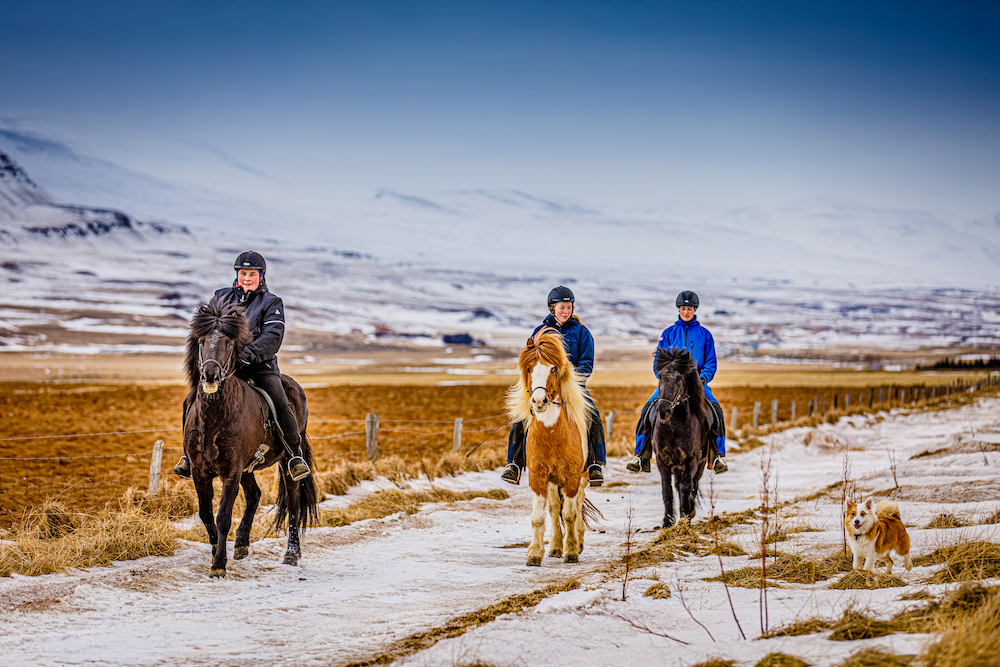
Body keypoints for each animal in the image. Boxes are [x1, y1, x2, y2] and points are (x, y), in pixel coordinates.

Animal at [183, 300, 316, 576]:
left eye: (229, 342)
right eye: (201, 341)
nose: (210, 375)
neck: (214, 416)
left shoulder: (231, 470)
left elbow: (223, 516)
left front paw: (218, 565)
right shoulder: (200, 471)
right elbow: (205, 514)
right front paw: (217, 550)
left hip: (286, 461)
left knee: (294, 502)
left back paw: (291, 554)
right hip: (248, 467)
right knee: (254, 495)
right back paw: (242, 545)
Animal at [648, 348, 712, 528]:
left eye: (679, 378)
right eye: (661, 376)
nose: (663, 411)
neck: (674, 426)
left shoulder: (691, 460)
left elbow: (686, 487)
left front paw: (688, 514)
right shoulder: (663, 461)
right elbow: (667, 490)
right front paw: (667, 522)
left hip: (699, 464)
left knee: (692, 485)